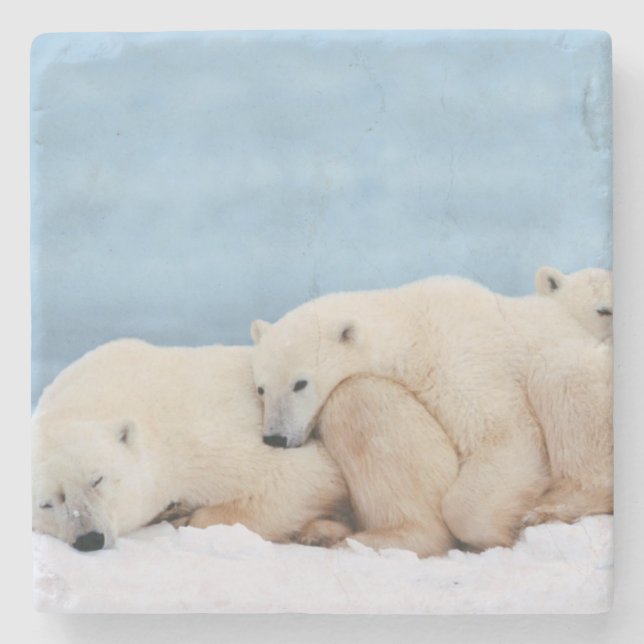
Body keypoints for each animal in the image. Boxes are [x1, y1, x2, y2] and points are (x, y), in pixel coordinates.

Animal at [32, 339, 354, 551]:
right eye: (46, 503)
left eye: (97, 480)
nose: (89, 538)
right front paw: (172, 510)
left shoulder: (206, 438)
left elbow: (300, 477)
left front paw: (185, 516)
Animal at [250, 274, 602, 552]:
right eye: (261, 388)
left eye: (300, 383)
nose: (276, 438)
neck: (414, 328)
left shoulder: (462, 362)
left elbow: (504, 434)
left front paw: (499, 532)